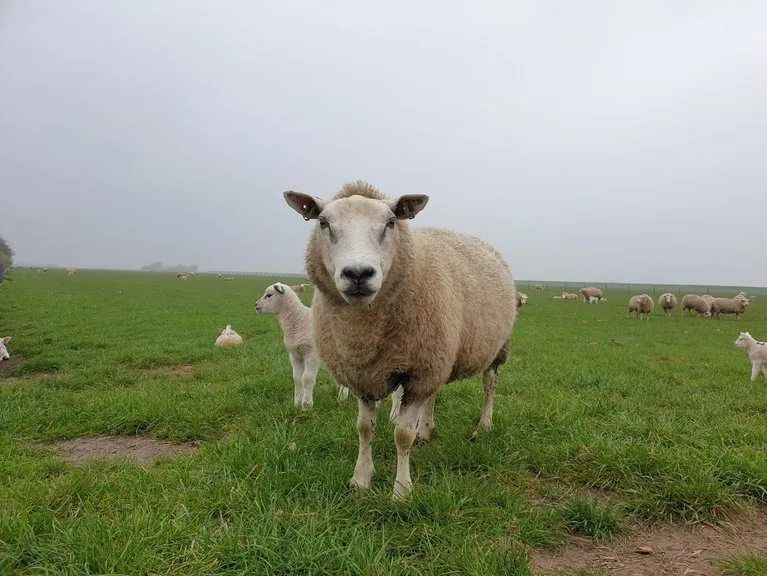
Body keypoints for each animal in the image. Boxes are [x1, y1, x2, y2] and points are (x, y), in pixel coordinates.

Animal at [284, 180, 516, 499]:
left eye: (391, 222)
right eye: (323, 222)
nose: (358, 274)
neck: (363, 333)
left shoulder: (417, 373)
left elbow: (402, 435)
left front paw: (402, 490)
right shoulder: (364, 374)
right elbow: (364, 428)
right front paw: (361, 479)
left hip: (496, 347)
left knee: (489, 386)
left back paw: (483, 426)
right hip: (439, 353)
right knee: (434, 393)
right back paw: (427, 430)